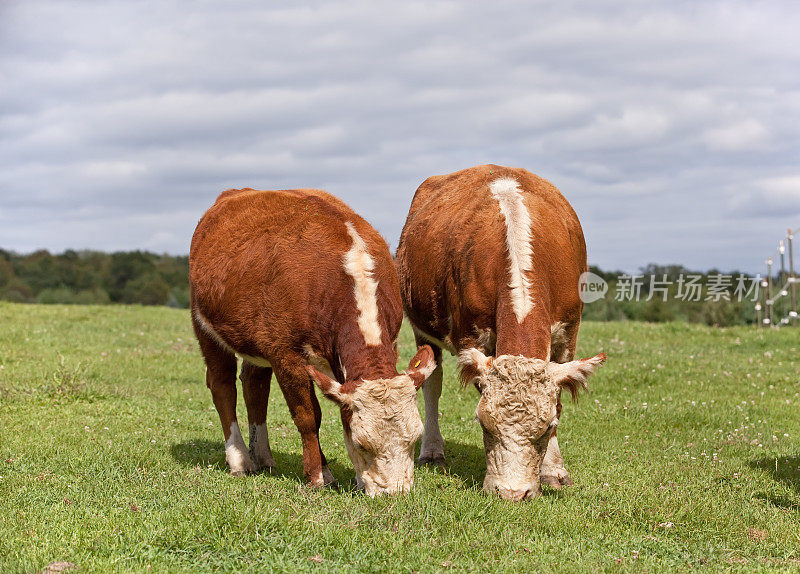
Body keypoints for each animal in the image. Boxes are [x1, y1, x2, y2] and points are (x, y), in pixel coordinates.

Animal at [190, 190, 434, 500]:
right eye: (362, 443)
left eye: (415, 438)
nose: (394, 493)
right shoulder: (286, 355)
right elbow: (308, 416)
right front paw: (319, 476)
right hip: (205, 327)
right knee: (223, 387)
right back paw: (240, 459)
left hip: (257, 345)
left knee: (254, 386)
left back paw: (263, 456)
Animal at [394, 164, 608, 502]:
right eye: (484, 425)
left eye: (546, 428)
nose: (511, 493)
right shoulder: (471, 337)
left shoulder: (568, 336)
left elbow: (559, 400)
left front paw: (554, 471)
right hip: (421, 329)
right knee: (432, 384)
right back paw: (432, 449)